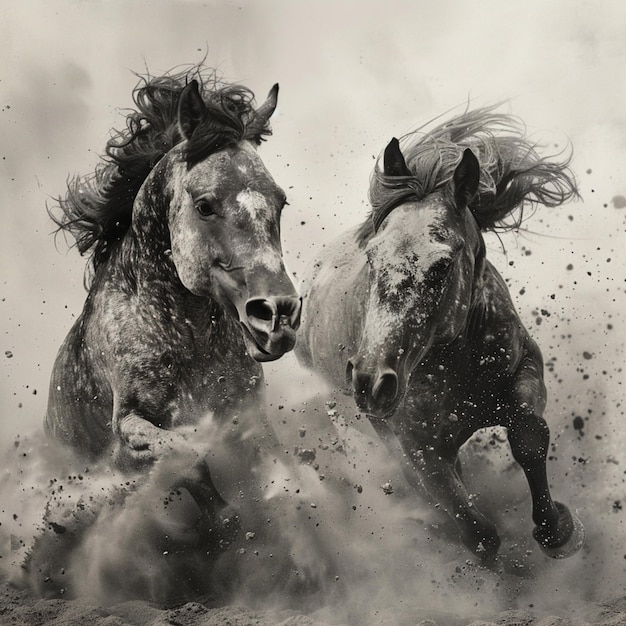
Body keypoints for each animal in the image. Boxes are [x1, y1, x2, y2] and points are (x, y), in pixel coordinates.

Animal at [44, 66, 300, 548]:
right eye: (205, 205)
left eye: (280, 201)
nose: (277, 317)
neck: (184, 335)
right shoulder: (129, 430)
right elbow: (186, 454)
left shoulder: (246, 409)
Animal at [294, 105, 584, 564]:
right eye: (372, 257)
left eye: (443, 265)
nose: (371, 380)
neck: (458, 362)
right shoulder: (419, 446)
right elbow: (476, 529)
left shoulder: (525, 366)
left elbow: (528, 437)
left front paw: (558, 531)